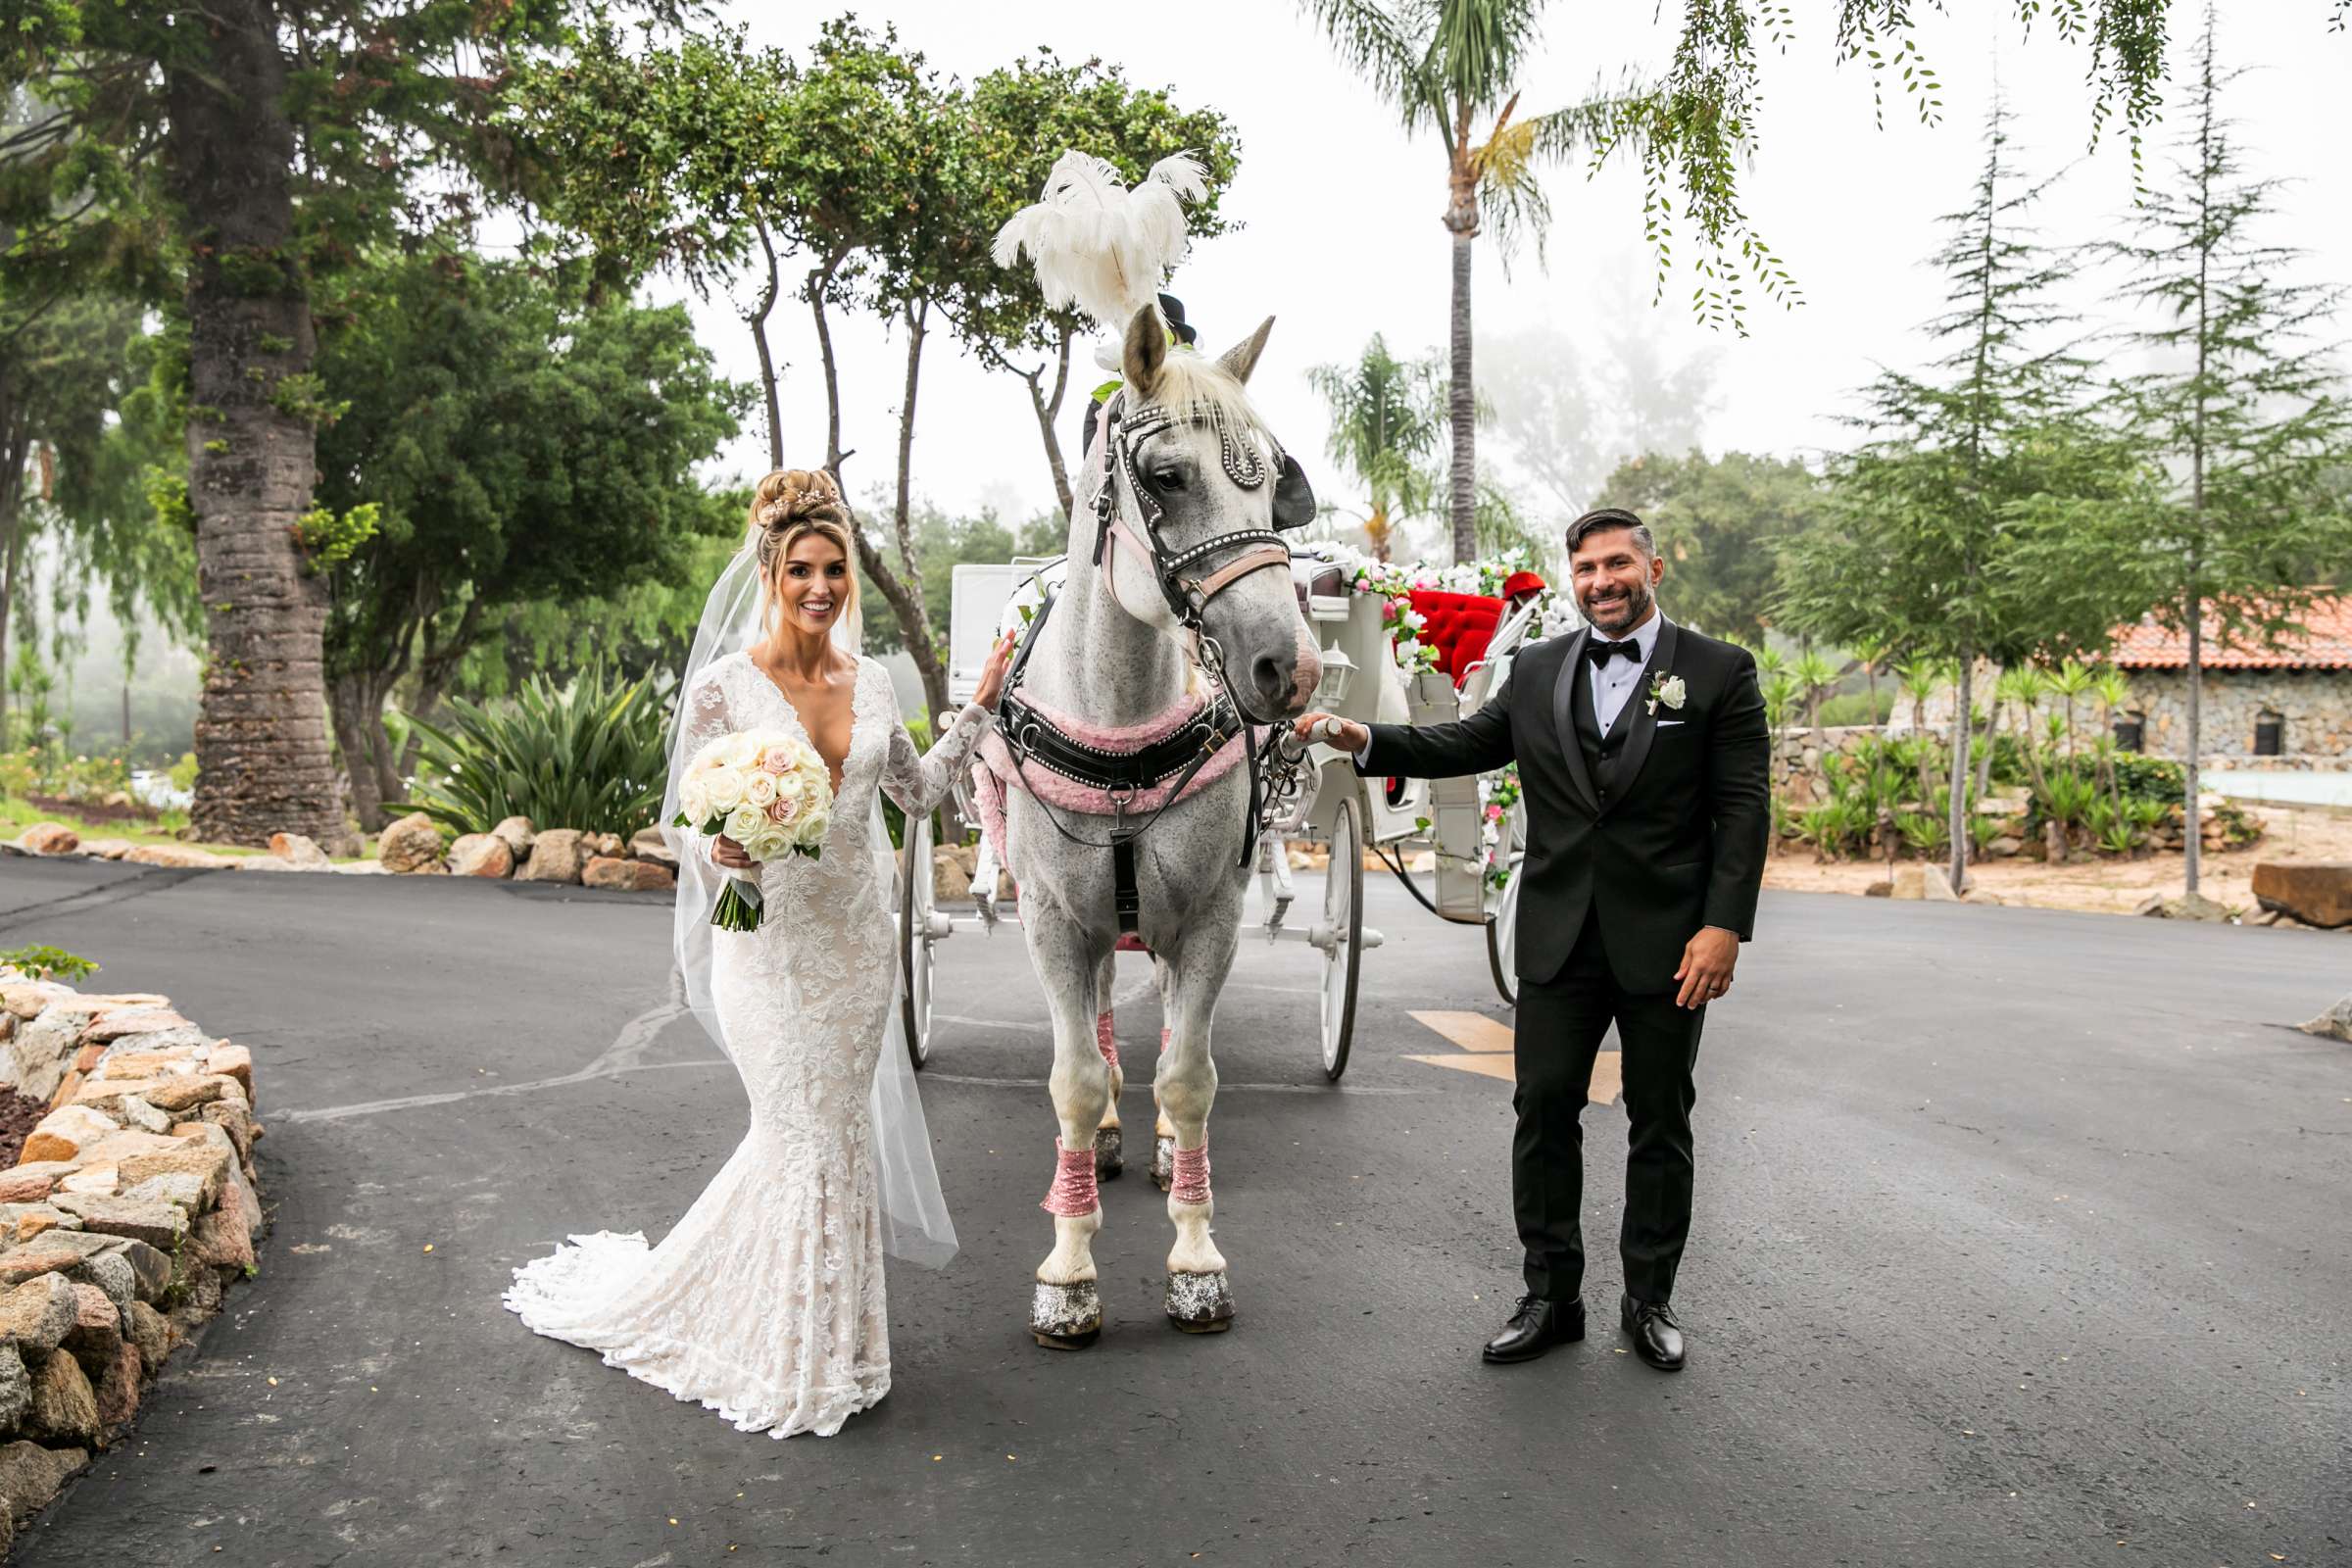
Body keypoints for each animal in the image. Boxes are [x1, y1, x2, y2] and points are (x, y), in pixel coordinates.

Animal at [983, 305, 1336, 1353]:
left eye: (1273, 477)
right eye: (1168, 477)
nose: (1290, 668)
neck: (1124, 720)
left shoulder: (1214, 915)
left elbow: (1189, 1075)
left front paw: (1195, 1258)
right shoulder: (1053, 921)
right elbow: (1071, 1080)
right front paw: (1067, 1271)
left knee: (1175, 1022)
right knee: (1103, 1016)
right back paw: (1103, 1134)